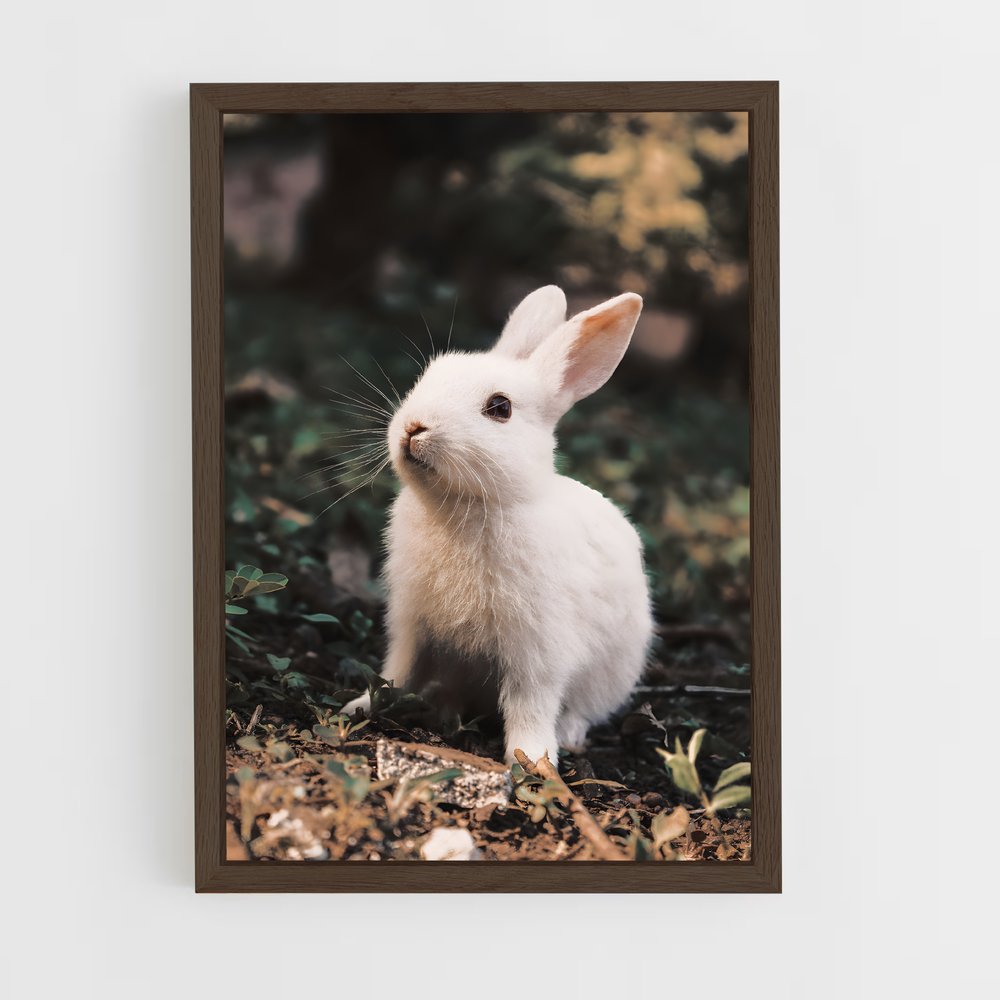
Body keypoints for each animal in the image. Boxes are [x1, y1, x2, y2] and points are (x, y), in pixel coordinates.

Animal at [342, 286, 654, 767]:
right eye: (429, 376)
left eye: (500, 408)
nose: (414, 427)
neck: (468, 506)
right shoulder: (411, 623)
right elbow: (397, 670)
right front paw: (360, 706)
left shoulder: (538, 649)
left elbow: (531, 702)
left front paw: (533, 760)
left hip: (612, 671)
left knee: (582, 709)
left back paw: (569, 736)